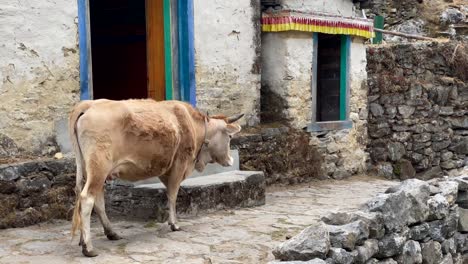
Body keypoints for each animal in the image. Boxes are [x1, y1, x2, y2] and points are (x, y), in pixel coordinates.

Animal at [70, 98, 245, 256]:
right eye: (230, 137)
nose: (231, 160)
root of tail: (88, 104)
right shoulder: (179, 164)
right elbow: (173, 194)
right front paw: (174, 224)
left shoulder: (165, 168)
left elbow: (169, 192)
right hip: (99, 167)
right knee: (87, 199)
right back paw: (89, 248)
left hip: (90, 169)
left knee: (92, 200)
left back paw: (102, 235)